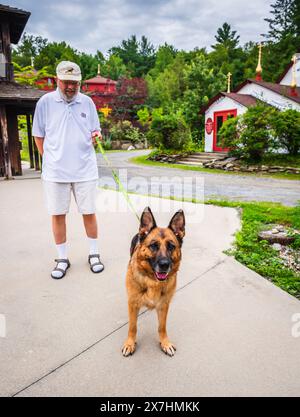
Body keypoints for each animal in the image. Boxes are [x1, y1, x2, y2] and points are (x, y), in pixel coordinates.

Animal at [122, 206, 185, 356]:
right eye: (153, 246)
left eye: (171, 246)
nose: (164, 265)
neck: (152, 281)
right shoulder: (133, 304)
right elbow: (132, 326)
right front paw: (130, 343)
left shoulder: (164, 306)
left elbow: (162, 327)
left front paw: (165, 342)